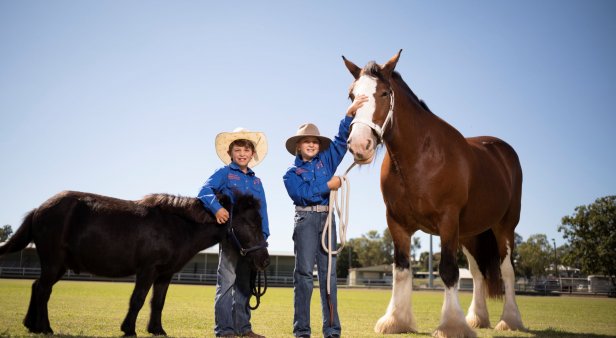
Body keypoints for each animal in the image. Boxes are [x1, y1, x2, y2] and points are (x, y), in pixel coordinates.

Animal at [342, 50, 524, 338]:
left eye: (384, 93)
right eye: (351, 95)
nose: (360, 144)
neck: (420, 157)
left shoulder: (447, 221)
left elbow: (448, 271)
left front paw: (451, 325)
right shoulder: (396, 223)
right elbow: (401, 270)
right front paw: (396, 321)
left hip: (504, 227)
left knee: (507, 271)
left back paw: (510, 320)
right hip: (469, 234)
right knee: (478, 273)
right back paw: (478, 318)